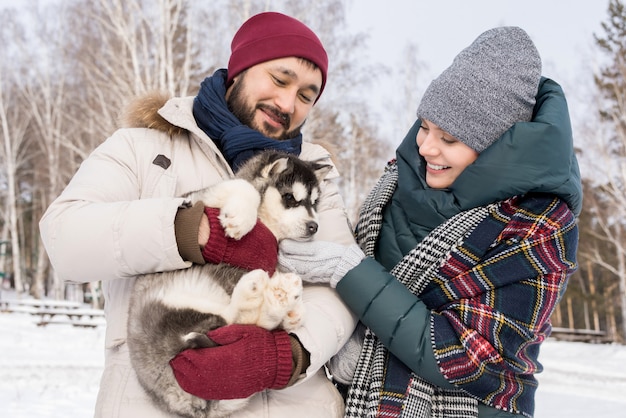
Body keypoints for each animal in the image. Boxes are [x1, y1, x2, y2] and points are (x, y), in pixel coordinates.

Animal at [127, 152, 332, 418]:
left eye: (314, 203)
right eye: (289, 197)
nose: (313, 226)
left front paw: (294, 309)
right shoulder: (200, 199)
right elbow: (243, 187)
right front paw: (240, 219)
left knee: (243, 325)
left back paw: (279, 298)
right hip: (168, 304)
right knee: (229, 317)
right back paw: (260, 293)